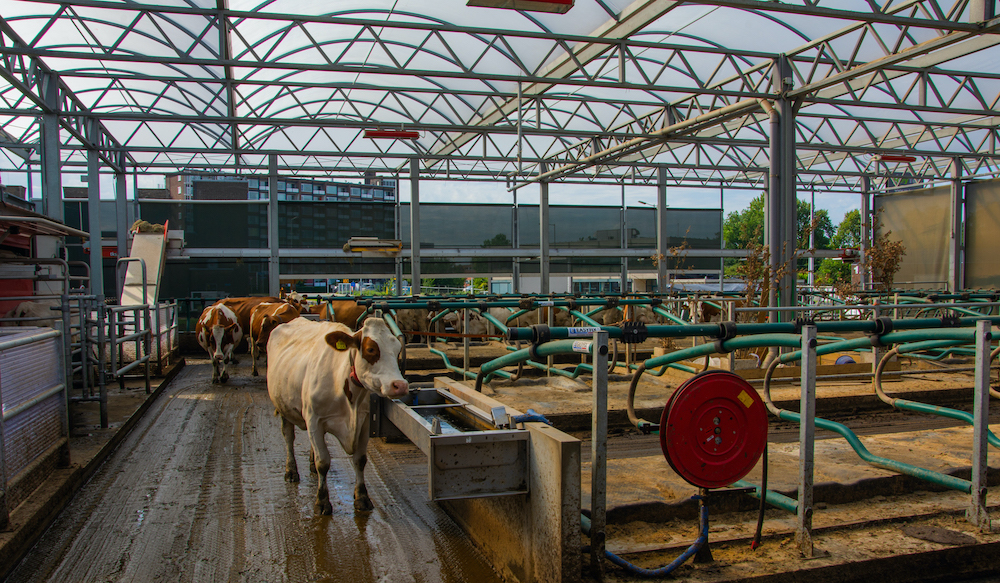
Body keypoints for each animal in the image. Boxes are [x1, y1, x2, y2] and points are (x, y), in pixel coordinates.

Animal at [268, 318, 408, 512]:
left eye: (397, 349)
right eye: (371, 349)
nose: (400, 385)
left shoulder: (364, 422)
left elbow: (360, 460)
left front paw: (362, 497)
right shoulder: (314, 420)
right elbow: (323, 462)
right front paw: (322, 501)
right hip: (282, 406)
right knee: (288, 437)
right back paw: (291, 471)